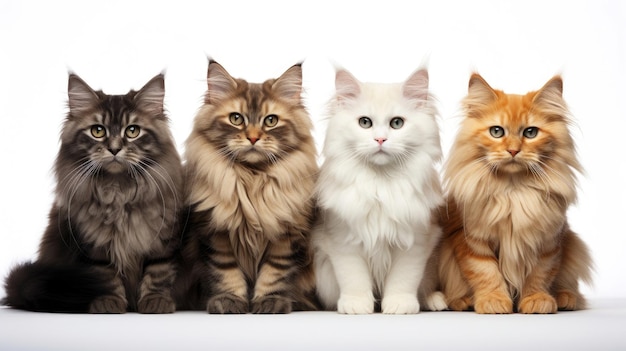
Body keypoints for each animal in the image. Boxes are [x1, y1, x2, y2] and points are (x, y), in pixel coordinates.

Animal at [1, 72, 183, 314]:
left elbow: (158, 272)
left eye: (132, 131)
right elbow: (105, 276)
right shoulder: (94, 245)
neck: (118, 191)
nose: (114, 148)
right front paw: (109, 302)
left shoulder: (162, 238)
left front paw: (156, 301)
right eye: (98, 131)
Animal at [176, 59, 320, 314]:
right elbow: (226, 272)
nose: (253, 138)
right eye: (236, 118)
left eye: (271, 121)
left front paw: (269, 301)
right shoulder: (215, 233)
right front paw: (230, 301)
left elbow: (274, 273)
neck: (252, 180)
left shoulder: (287, 235)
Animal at [312, 67, 444, 314]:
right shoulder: (344, 240)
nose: (380, 139)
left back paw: (435, 300)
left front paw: (399, 305)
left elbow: (403, 279)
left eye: (397, 123)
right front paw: (356, 305)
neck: (380, 185)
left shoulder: (414, 242)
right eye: (365, 122)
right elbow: (354, 278)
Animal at [436, 73, 592, 314]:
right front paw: (494, 301)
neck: (513, 191)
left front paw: (536, 300)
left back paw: (565, 298)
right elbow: (487, 273)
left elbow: (539, 275)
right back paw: (463, 301)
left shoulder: (546, 244)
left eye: (530, 132)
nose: (513, 150)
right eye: (497, 131)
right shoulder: (472, 241)